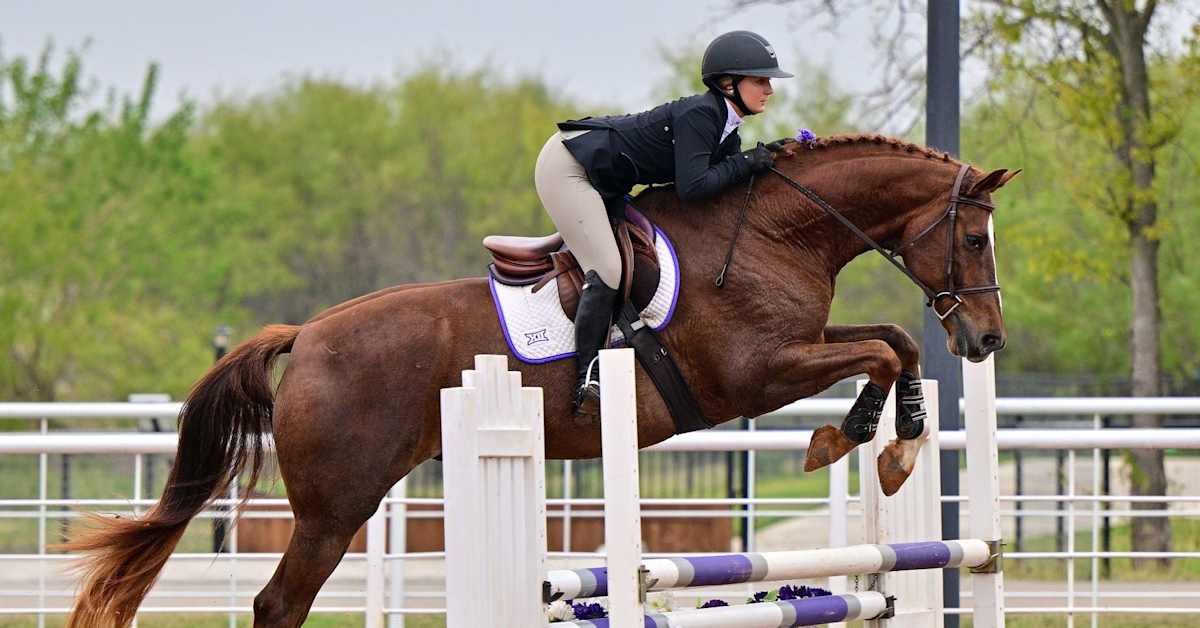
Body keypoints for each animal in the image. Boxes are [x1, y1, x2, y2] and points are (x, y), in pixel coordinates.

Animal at [65, 131, 1017, 624]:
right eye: (974, 239)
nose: (986, 340)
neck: (773, 230)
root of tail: (309, 334)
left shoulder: (798, 347)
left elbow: (890, 340)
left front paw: (890, 437)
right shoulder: (754, 375)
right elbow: (883, 350)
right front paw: (862, 441)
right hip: (336, 508)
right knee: (277, 603)